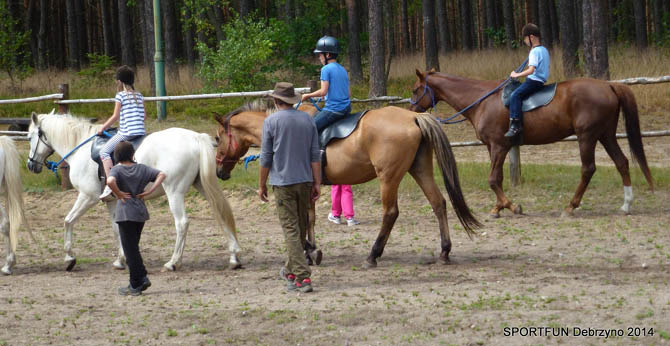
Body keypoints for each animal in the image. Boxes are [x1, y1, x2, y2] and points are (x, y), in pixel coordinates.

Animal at [26, 112, 242, 272]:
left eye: (30, 137)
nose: (30, 165)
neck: (80, 147)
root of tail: (195, 137)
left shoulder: (88, 196)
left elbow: (68, 221)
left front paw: (69, 258)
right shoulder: (113, 200)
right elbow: (117, 228)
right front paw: (121, 260)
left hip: (174, 192)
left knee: (182, 223)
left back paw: (173, 262)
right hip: (202, 186)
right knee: (221, 214)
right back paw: (234, 257)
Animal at [215, 100, 484, 268]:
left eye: (218, 138)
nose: (219, 171)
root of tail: (414, 116)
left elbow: (303, 219)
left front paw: (308, 250)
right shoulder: (309, 187)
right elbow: (310, 219)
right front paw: (312, 250)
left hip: (388, 177)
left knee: (391, 213)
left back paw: (373, 255)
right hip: (420, 169)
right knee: (438, 203)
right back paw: (444, 251)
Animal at [410, 69, 656, 218]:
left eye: (415, 89)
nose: (411, 110)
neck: (482, 100)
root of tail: (609, 86)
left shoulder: (499, 145)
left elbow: (492, 179)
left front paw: (511, 206)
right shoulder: (493, 147)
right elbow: (498, 177)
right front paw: (498, 207)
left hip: (587, 137)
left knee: (588, 169)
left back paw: (570, 206)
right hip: (605, 135)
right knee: (622, 162)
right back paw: (626, 205)